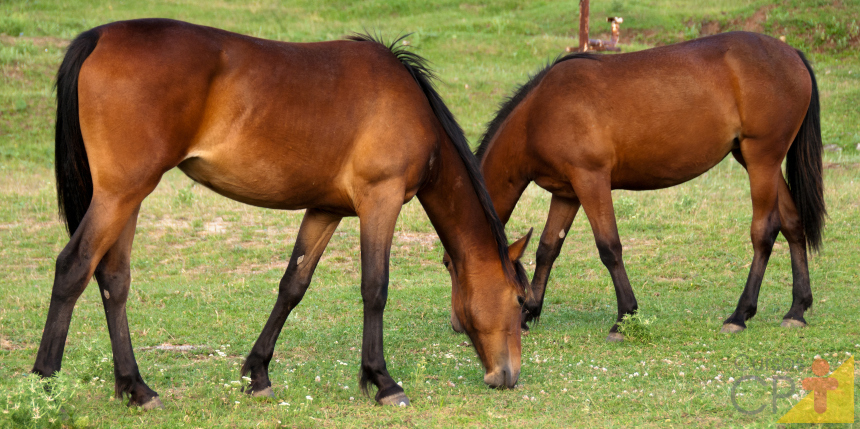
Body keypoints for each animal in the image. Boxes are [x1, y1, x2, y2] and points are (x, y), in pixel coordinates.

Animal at [35, 19, 532, 408]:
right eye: (519, 302)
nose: (508, 376)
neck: (410, 103)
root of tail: (100, 36)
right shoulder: (380, 201)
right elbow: (375, 288)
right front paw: (382, 380)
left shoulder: (326, 210)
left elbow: (292, 286)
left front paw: (257, 373)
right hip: (120, 194)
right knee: (73, 267)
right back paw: (43, 385)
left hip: (127, 197)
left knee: (113, 279)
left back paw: (136, 388)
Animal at [470, 31, 828, 342]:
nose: (466, 324)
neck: (540, 112)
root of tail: (792, 54)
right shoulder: (567, 192)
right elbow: (548, 249)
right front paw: (530, 312)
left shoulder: (591, 180)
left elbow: (609, 248)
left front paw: (624, 317)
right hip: (759, 161)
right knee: (793, 223)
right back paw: (797, 309)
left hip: (761, 160)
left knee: (764, 232)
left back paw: (740, 314)